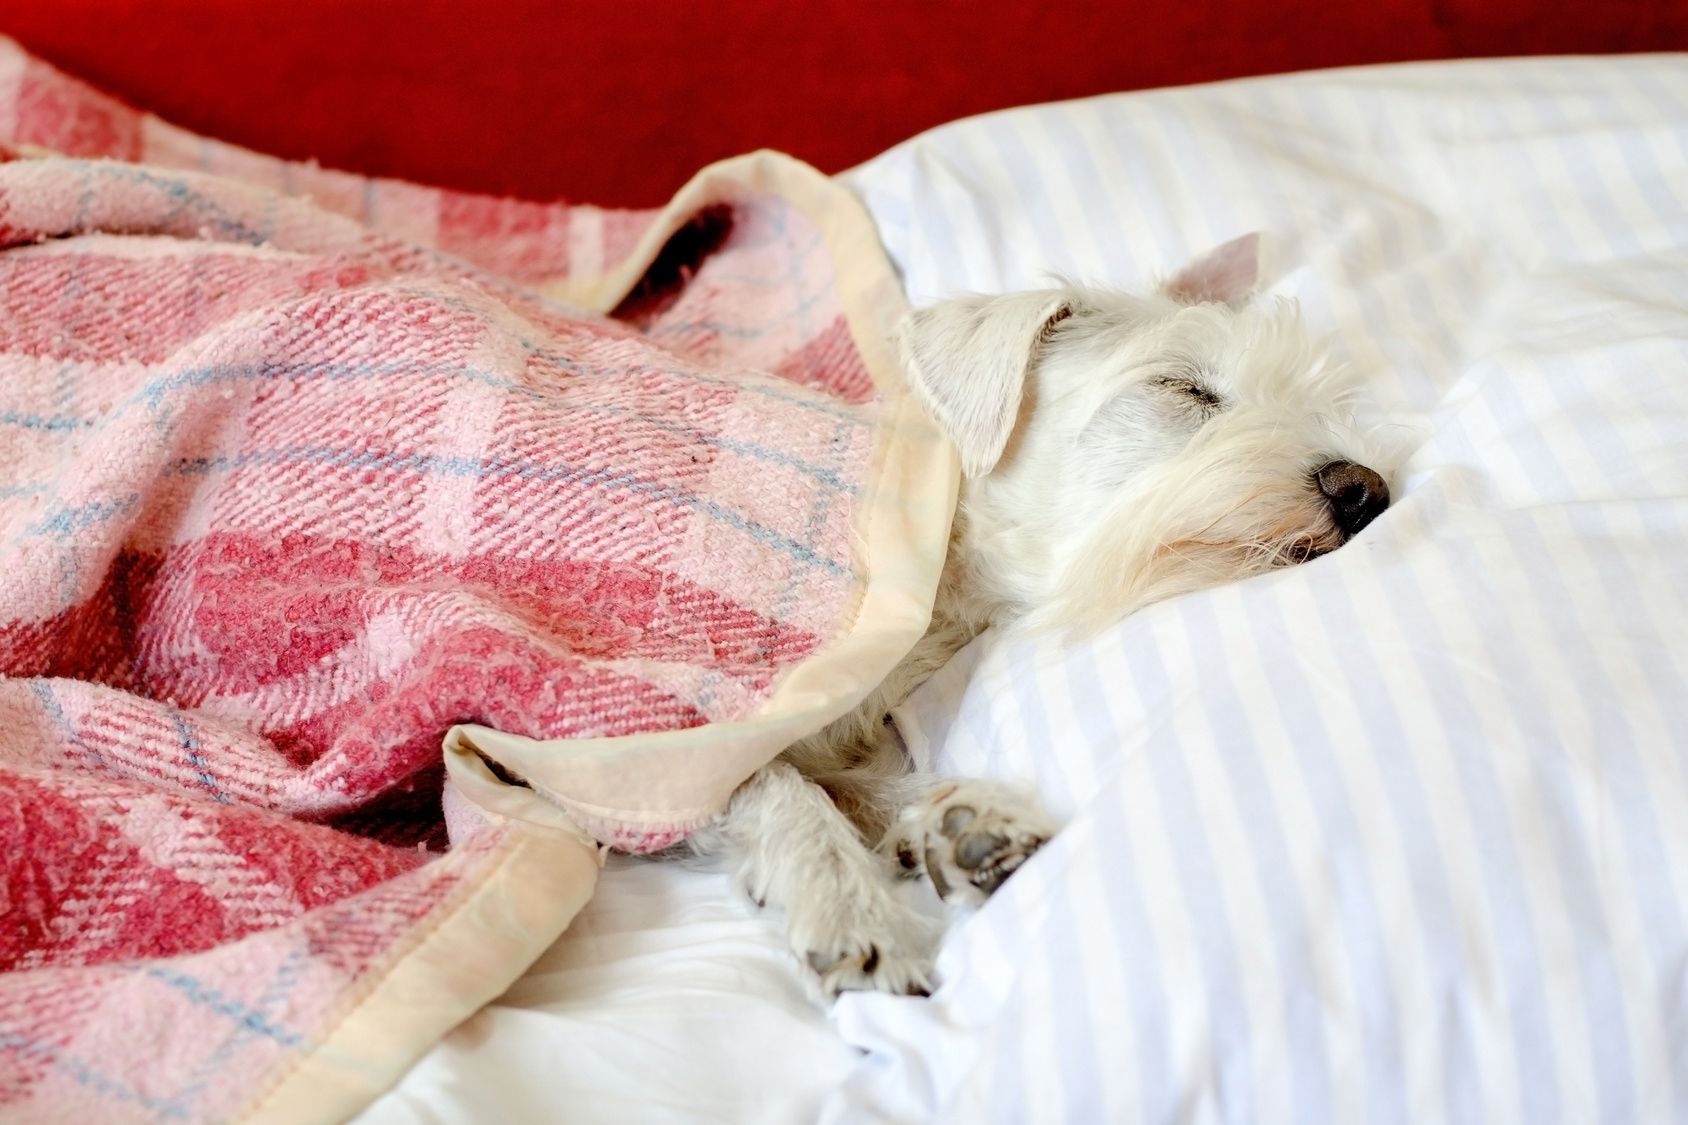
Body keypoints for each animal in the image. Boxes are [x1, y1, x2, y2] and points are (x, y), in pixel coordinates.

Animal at [685, 231, 1384, 993]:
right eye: (1185, 387)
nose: (1367, 491)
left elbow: (854, 781)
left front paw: (964, 821)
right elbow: (780, 786)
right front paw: (847, 901)